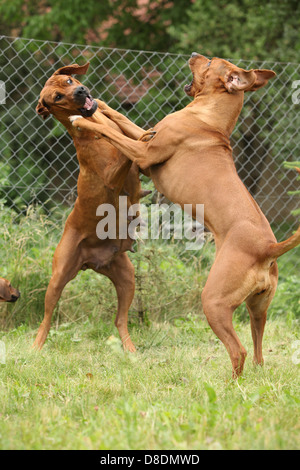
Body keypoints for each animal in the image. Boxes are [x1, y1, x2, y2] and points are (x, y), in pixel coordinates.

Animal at [33, 62, 146, 352]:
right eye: (57, 97)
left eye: (68, 80)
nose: (81, 91)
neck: (94, 127)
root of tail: (92, 262)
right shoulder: (111, 176)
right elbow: (127, 149)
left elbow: (129, 130)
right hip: (59, 276)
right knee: (46, 317)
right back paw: (35, 348)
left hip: (126, 275)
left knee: (120, 320)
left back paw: (130, 350)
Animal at [70, 54, 300, 378]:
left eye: (211, 62)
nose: (194, 55)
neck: (207, 117)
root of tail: (268, 247)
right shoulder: (144, 136)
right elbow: (119, 119)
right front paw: (97, 104)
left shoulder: (143, 153)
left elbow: (111, 130)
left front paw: (81, 119)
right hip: (258, 309)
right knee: (257, 353)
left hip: (214, 303)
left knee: (238, 351)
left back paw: (229, 384)